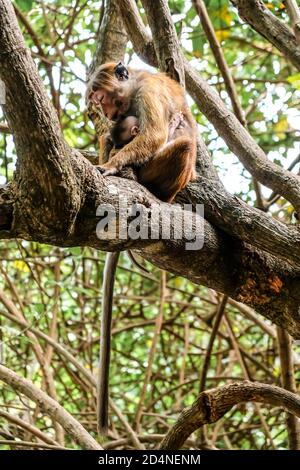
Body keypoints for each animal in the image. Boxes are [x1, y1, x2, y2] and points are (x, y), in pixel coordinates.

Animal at [85, 61, 198, 434]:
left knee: (182, 143)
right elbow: (112, 135)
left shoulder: (149, 92)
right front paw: (110, 151)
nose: (105, 112)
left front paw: (109, 166)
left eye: (101, 98)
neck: (133, 84)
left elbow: (154, 134)